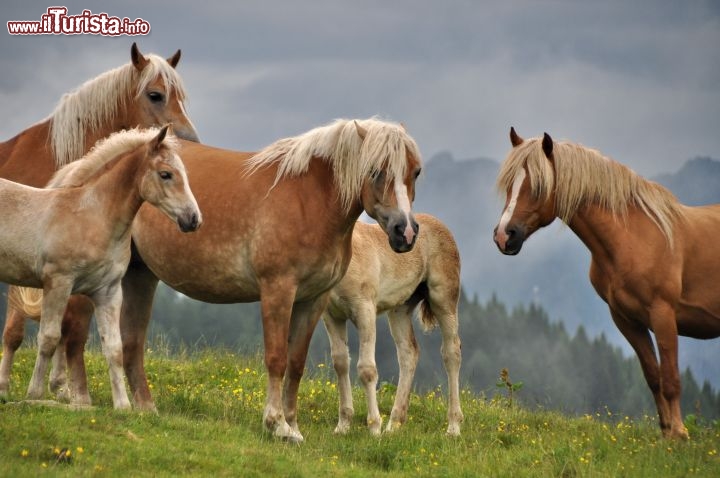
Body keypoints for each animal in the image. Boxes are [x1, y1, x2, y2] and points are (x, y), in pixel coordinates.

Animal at [0, 41, 198, 402]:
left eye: (182, 96)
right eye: (155, 95)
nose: (192, 141)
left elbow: (78, 331)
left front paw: (63, 389)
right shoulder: (37, 275)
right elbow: (22, 331)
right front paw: (15, 387)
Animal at [320, 213, 462, 436]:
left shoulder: (365, 310)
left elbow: (367, 369)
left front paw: (374, 427)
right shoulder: (332, 316)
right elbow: (341, 364)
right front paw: (343, 426)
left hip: (444, 299)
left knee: (452, 352)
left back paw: (453, 427)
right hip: (400, 309)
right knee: (409, 353)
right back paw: (394, 424)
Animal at [492, 127, 720, 440]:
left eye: (538, 187)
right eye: (508, 185)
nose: (504, 236)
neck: (633, 238)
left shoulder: (663, 315)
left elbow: (671, 378)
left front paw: (679, 435)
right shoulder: (627, 319)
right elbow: (653, 376)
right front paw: (666, 435)